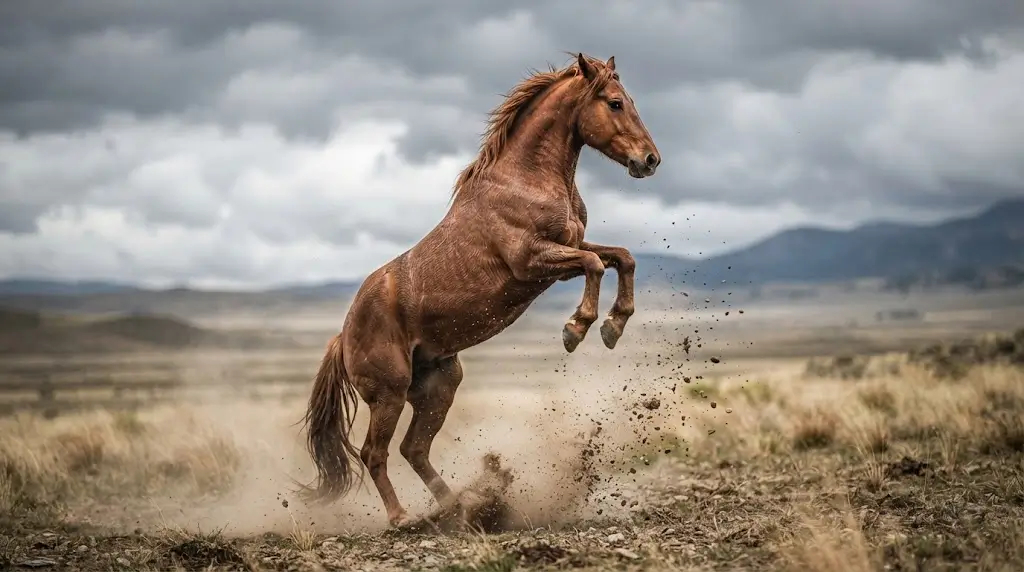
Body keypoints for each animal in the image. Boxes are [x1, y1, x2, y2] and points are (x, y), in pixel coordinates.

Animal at [301, 52, 661, 528]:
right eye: (615, 102)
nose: (651, 160)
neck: (526, 178)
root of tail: (343, 336)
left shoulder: (567, 251)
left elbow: (621, 257)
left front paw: (613, 326)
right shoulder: (532, 261)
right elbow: (596, 265)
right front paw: (577, 328)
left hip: (439, 385)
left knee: (414, 449)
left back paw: (459, 507)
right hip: (389, 394)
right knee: (374, 452)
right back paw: (403, 518)